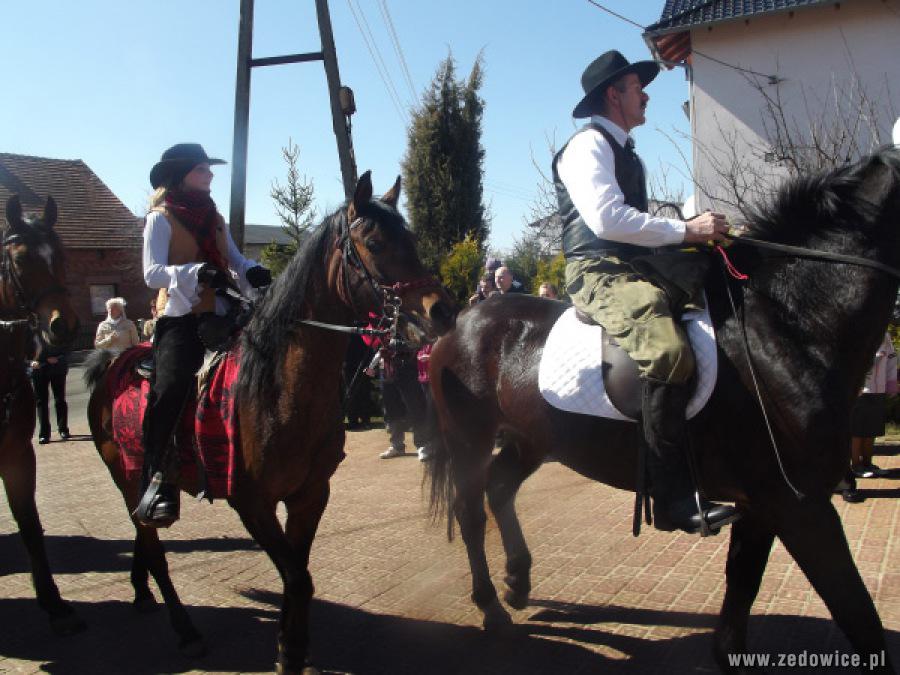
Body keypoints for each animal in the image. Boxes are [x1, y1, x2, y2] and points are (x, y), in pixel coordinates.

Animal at [85, 172, 455, 674]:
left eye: (411, 240)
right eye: (376, 243)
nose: (442, 310)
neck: (279, 389)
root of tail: (112, 362)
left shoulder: (309, 496)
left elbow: (297, 573)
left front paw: (291, 648)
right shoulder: (252, 503)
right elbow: (297, 578)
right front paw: (291, 653)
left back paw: (141, 592)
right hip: (125, 475)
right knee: (155, 549)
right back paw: (184, 630)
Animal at [426, 147, 900, 673]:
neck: (784, 327)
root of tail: (460, 320)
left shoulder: (764, 504)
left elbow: (742, 590)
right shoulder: (800, 505)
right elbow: (857, 613)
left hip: (531, 439)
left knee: (500, 487)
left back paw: (517, 582)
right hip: (469, 439)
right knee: (470, 511)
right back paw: (492, 606)